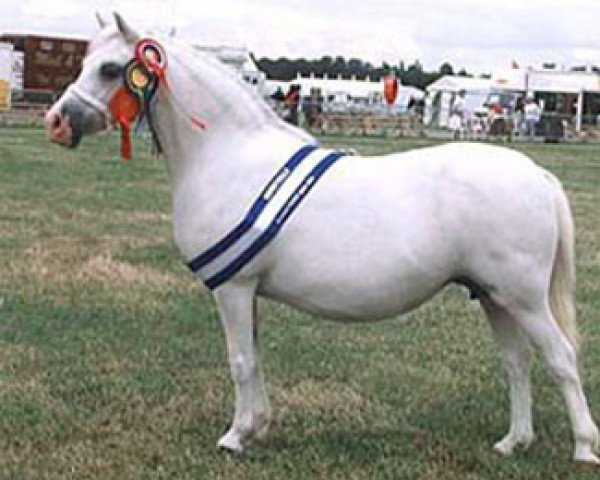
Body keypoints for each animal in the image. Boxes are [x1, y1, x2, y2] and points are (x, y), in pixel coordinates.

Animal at [43, 15, 600, 464]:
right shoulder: (247, 290)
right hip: (493, 297)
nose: (55, 122)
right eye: (86, 61)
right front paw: (257, 428)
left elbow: (240, 362)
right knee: (517, 363)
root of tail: (538, 175)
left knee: (560, 359)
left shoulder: (233, 289)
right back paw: (513, 442)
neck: (227, 155)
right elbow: (255, 358)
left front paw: (235, 437)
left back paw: (583, 447)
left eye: (110, 69)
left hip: (524, 300)